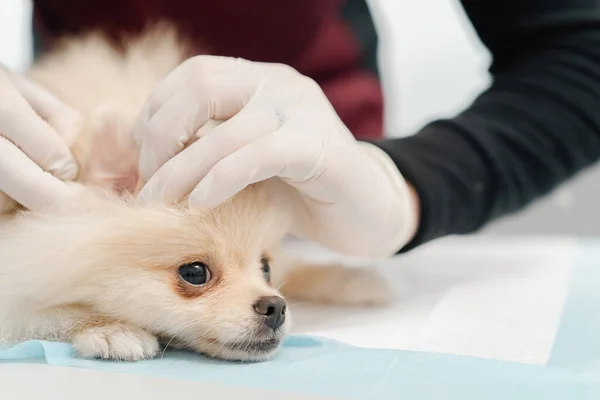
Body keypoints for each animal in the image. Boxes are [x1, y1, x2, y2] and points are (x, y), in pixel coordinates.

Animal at [0, 24, 392, 362]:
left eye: (265, 268)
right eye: (194, 273)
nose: (275, 306)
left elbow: (302, 268)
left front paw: (352, 279)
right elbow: (45, 314)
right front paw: (110, 330)